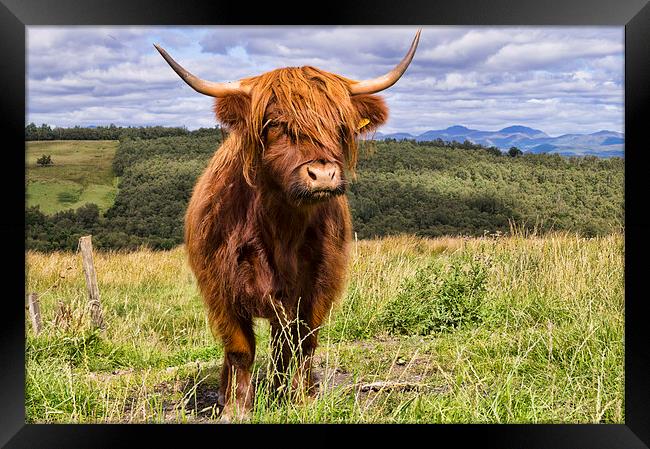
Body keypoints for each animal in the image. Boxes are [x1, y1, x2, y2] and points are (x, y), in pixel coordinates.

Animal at [156, 29, 420, 418]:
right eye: (276, 125)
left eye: (339, 126)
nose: (323, 174)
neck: (282, 227)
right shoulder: (221, 287)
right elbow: (239, 347)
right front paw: (237, 408)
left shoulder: (319, 285)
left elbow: (304, 341)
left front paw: (300, 398)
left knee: (284, 344)